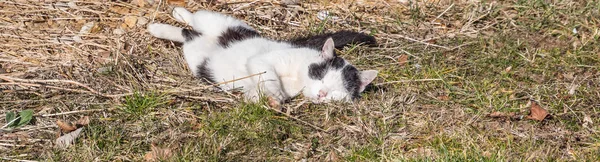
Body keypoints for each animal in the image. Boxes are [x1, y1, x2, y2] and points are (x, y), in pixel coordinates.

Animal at [148, 7, 378, 104]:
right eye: (321, 76)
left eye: (337, 91)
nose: (322, 94)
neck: (298, 79)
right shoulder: (266, 60)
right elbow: (268, 74)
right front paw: (276, 93)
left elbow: (257, 92)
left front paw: (270, 100)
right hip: (221, 21)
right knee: (194, 18)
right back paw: (171, 16)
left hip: (197, 51)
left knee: (186, 34)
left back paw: (161, 29)